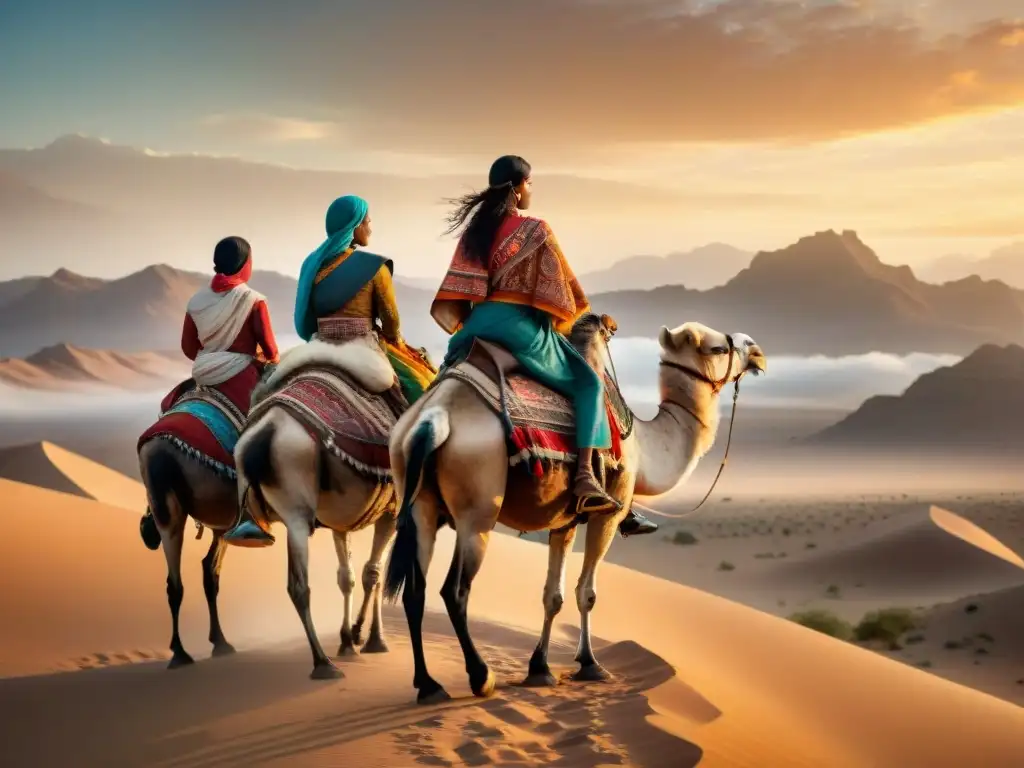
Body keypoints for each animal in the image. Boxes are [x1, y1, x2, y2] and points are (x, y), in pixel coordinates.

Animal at [232, 335, 403, 679]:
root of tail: (266, 432)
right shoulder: (392, 512)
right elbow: (374, 573)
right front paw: (369, 637)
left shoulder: (340, 522)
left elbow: (347, 576)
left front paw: (349, 640)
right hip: (298, 514)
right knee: (299, 586)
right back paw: (323, 663)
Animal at [385, 315, 770, 708]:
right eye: (718, 348)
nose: (756, 350)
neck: (645, 445)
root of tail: (432, 418)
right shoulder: (608, 513)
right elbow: (587, 592)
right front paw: (589, 664)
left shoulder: (564, 520)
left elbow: (551, 596)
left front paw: (539, 669)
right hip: (476, 511)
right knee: (455, 590)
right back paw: (481, 676)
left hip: (420, 505)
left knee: (415, 590)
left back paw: (429, 685)